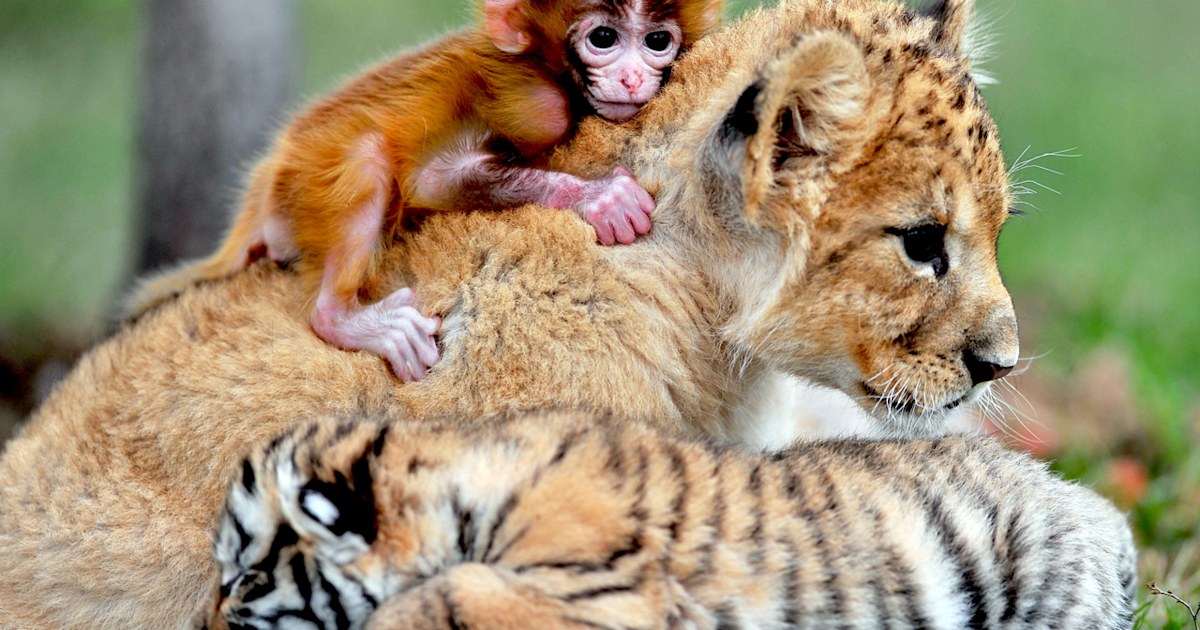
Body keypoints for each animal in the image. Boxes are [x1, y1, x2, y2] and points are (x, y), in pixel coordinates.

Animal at [129, 0, 720, 381]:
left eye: (658, 41)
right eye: (603, 38)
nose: (632, 79)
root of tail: (272, 171)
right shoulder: (534, 105)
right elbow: (432, 179)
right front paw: (601, 198)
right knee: (367, 159)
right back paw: (342, 318)